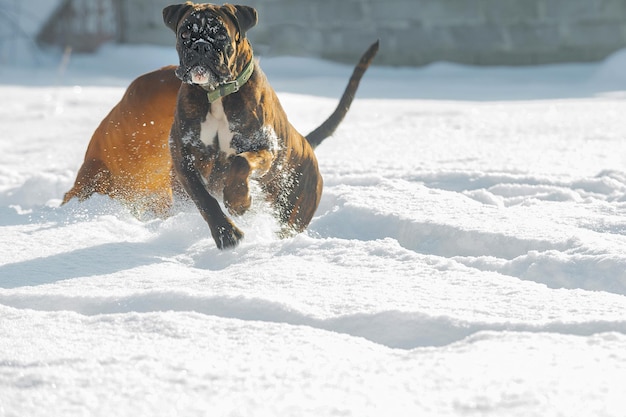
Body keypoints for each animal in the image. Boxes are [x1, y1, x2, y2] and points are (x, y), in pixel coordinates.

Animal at [162, 1, 376, 249]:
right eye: (185, 33)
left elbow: (241, 163)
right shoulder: (183, 157)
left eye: (222, 35)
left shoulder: (264, 149)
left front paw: (238, 202)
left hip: (295, 211)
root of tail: (307, 145)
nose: (201, 47)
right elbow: (204, 199)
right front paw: (226, 233)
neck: (216, 94)